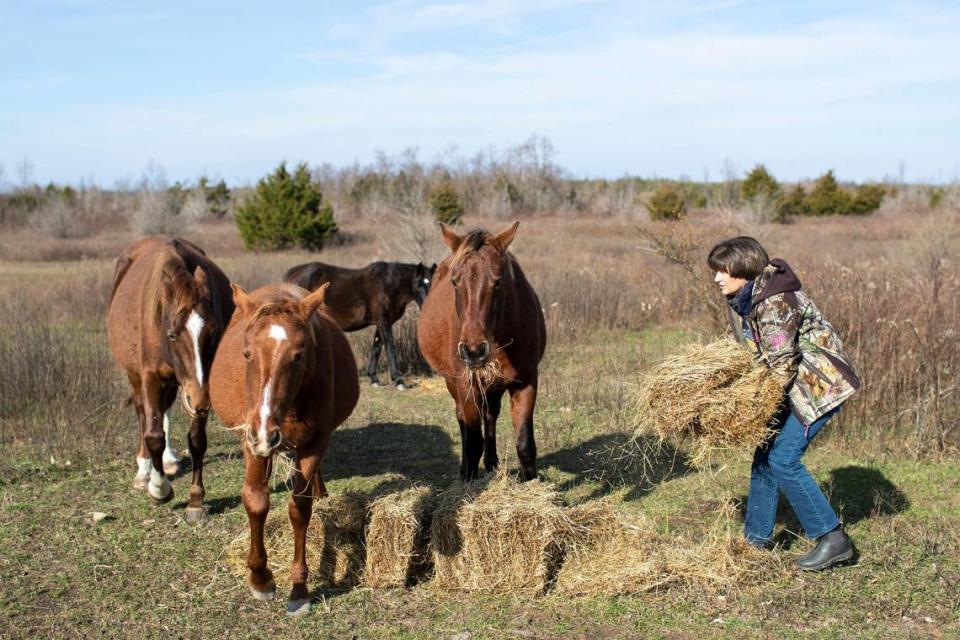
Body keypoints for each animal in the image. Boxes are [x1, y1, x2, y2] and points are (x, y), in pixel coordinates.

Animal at [107, 235, 234, 520]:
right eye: (173, 334)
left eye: (213, 332)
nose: (201, 400)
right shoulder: (151, 376)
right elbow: (153, 434)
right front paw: (159, 488)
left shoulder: (197, 387)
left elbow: (197, 440)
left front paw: (196, 500)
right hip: (137, 375)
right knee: (143, 412)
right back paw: (145, 471)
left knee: (164, 409)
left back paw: (168, 460)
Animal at [211, 282, 360, 616]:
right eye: (246, 353)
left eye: (298, 355)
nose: (267, 433)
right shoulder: (252, 439)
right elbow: (256, 502)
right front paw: (260, 578)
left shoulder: (315, 441)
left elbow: (299, 509)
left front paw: (299, 588)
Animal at [284, 258, 436, 388]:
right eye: (418, 284)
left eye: (432, 284)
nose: (427, 307)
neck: (388, 286)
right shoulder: (384, 323)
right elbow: (390, 348)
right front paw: (399, 381)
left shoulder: (382, 323)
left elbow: (377, 347)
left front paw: (374, 379)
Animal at [418, 224, 548, 480]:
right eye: (455, 282)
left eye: (497, 282)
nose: (473, 351)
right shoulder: (467, 385)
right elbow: (472, 443)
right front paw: (468, 478)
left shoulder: (526, 381)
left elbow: (525, 444)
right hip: (454, 383)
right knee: (463, 419)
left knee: (490, 416)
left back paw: (492, 463)